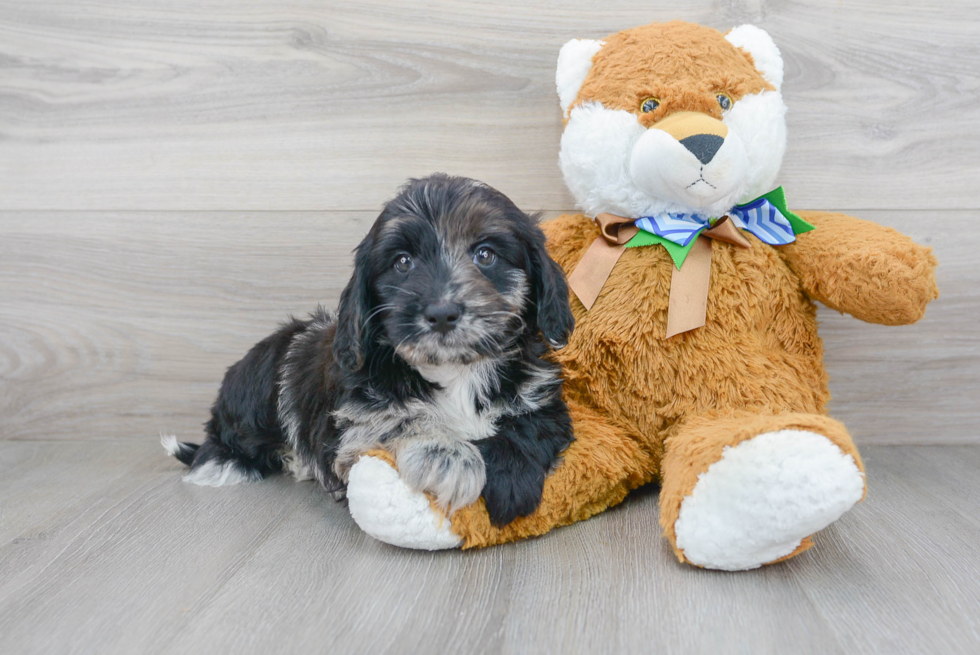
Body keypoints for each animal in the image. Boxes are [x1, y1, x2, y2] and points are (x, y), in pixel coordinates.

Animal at [161, 174, 576, 528]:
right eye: (403, 262)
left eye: (485, 254)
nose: (442, 312)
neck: (455, 369)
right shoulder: (353, 419)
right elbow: (396, 419)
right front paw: (448, 457)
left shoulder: (542, 398)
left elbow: (530, 425)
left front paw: (511, 480)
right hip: (260, 381)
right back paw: (226, 464)